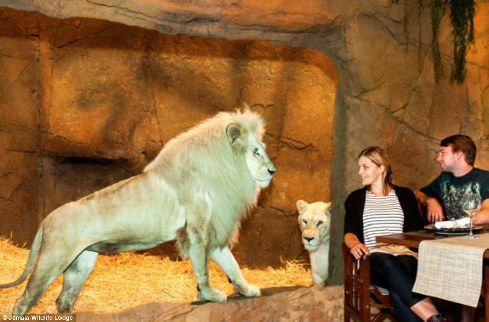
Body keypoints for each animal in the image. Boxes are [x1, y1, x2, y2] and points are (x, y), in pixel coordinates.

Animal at [0, 108, 274, 314]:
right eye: (256, 152)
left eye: (263, 150)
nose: (273, 171)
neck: (227, 168)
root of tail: (47, 218)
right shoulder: (197, 230)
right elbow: (203, 269)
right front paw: (210, 295)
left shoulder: (213, 230)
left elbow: (232, 265)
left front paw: (247, 290)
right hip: (53, 259)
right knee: (23, 300)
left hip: (81, 264)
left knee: (63, 300)